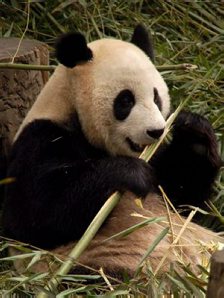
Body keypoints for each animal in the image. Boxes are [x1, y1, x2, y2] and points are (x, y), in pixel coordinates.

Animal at [1, 25, 222, 278]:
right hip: (101, 267)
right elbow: (34, 214)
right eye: (125, 100)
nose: (156, 131)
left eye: (156, 96)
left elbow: (184, 202)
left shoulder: (157, 161)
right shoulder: (40, 139)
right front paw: (131, 173)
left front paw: (195, 133)